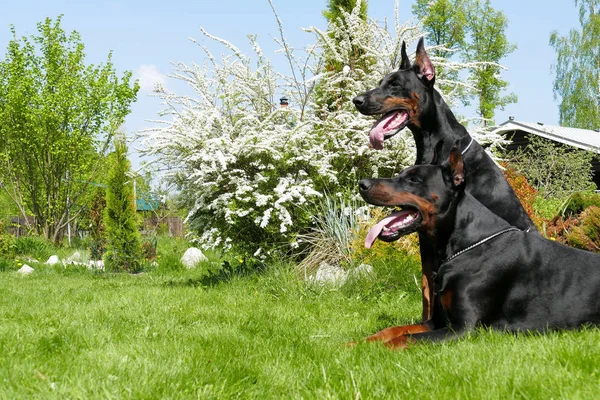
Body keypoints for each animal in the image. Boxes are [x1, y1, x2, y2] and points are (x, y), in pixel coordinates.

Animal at [352, 38, 536, 322]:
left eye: (395, 84)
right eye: (381, 82)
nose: (357, 100)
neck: (432, 144)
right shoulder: (426, 239)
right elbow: (427, 285)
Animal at [356, 142, 600, 348]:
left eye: (414, 180)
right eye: (400, 175)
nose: (362, 184)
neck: (464, 245)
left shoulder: (463, 329)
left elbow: (404, 339)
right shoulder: (438, 320)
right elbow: (392, 330)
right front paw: (356, 344)